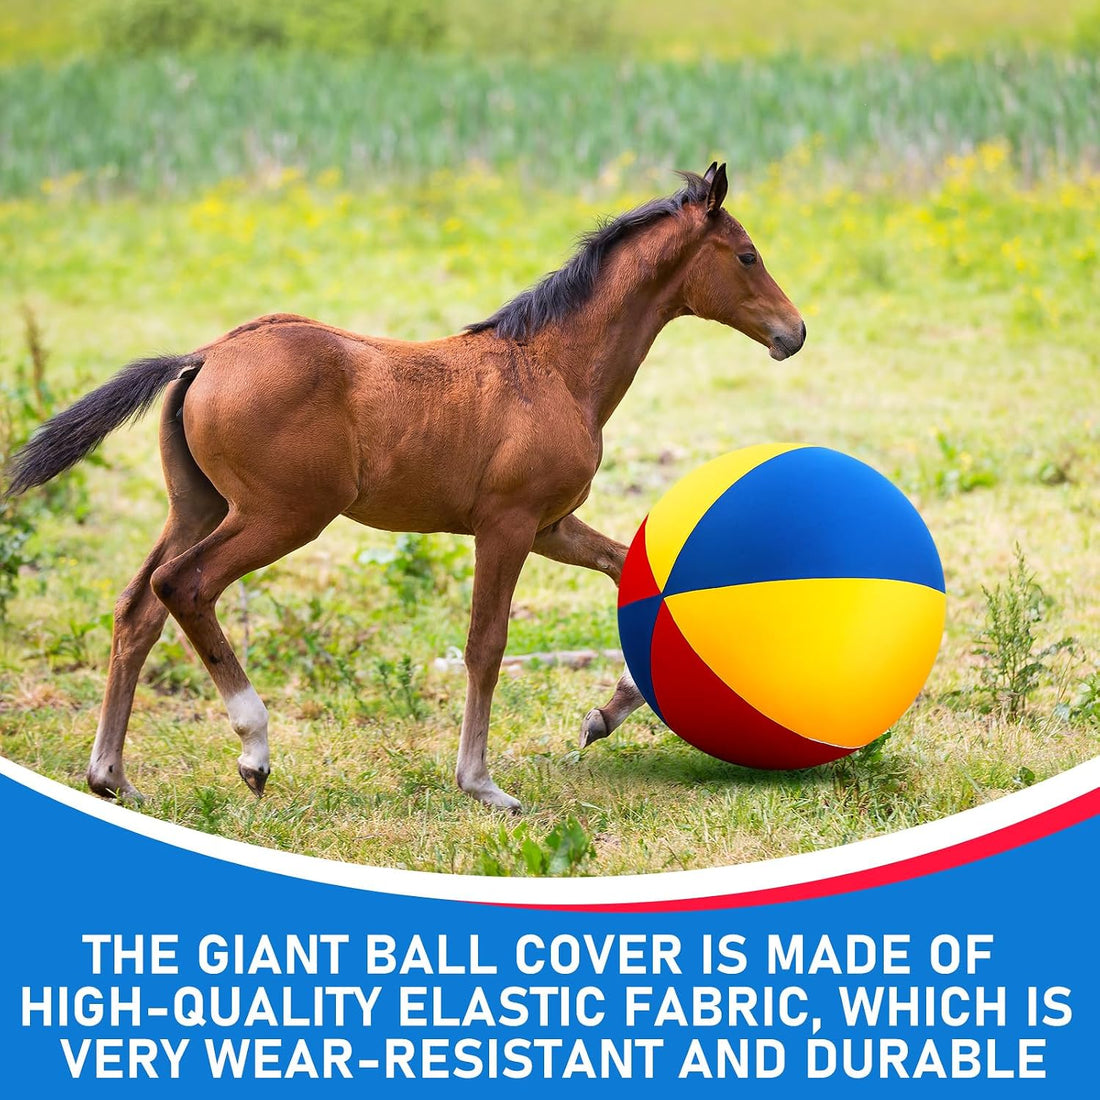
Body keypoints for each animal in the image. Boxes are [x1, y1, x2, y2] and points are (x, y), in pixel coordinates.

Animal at [7, 162, 804, 812]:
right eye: (747, 255)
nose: (793, 333)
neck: (552, 367)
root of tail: (206, 355)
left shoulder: (551, 526)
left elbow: (627, 573)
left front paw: (600, 718)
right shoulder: (507, 525)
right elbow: (486, 643)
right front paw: (481, 784)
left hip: (199, 506)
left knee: (136, 606)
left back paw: (111, 777)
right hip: (281, 515)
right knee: (183, 585)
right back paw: (253, 748)